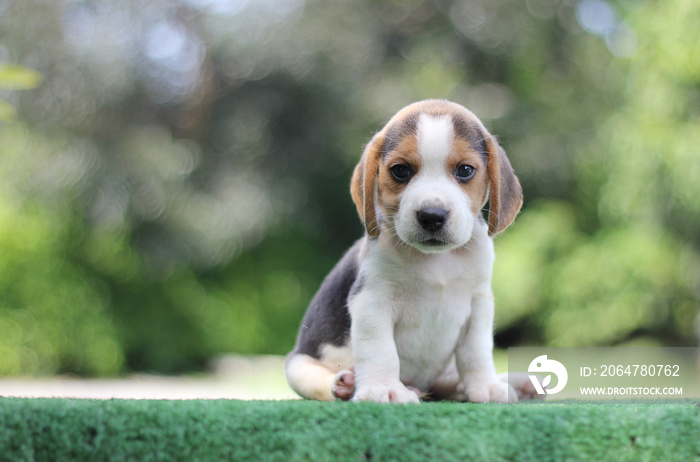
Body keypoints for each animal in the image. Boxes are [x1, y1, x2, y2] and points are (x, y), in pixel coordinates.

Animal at [284, 99, 524, 402]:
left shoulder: (479, 301)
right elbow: (380, 350)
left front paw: (486, 385)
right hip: (297, 365)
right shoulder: (372, 299)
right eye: (400, 170)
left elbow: (476, 350)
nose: (432, 215)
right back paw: (346, 383)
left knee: (447, 382)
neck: (437, 261)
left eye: (465, 170)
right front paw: (384, 389)